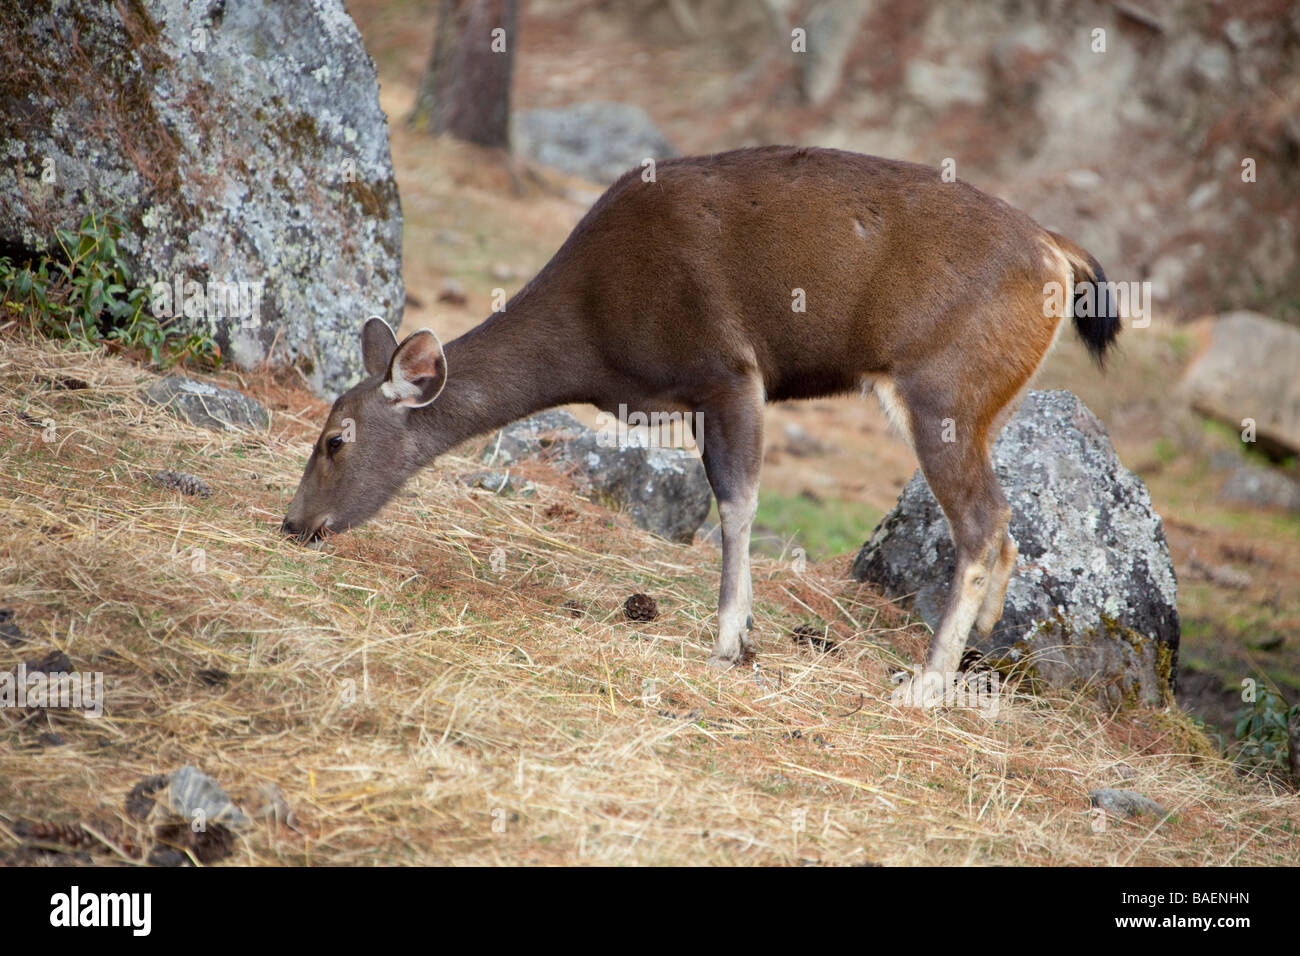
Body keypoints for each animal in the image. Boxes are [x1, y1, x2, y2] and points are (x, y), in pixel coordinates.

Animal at [282, 143, 1118, 686]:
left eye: (334, 439)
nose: (293, 524)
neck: (592, 340)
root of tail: (1058, 252)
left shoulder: (729, 370)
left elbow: (737, 500)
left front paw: (728, 641)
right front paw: (740, 636)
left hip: (943, 384)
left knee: (980, 519)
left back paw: (926, 685)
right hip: (985, 402)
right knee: (1006, 519)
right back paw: (981, 642)